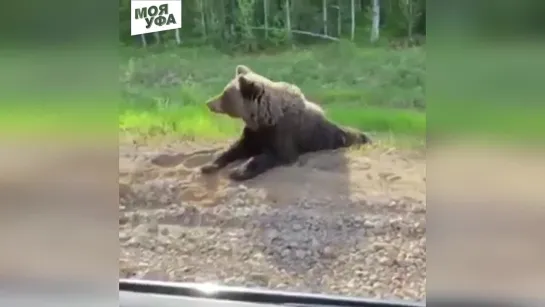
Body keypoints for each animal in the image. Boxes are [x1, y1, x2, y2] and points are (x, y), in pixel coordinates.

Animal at [202, 64, 372, 182]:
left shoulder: (283, 134)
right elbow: (234, 148)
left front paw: (239, 171)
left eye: (225, 95)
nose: (209, 103)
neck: (265, 119)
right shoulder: (254, 134)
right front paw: (209, 165)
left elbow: (272, 155)